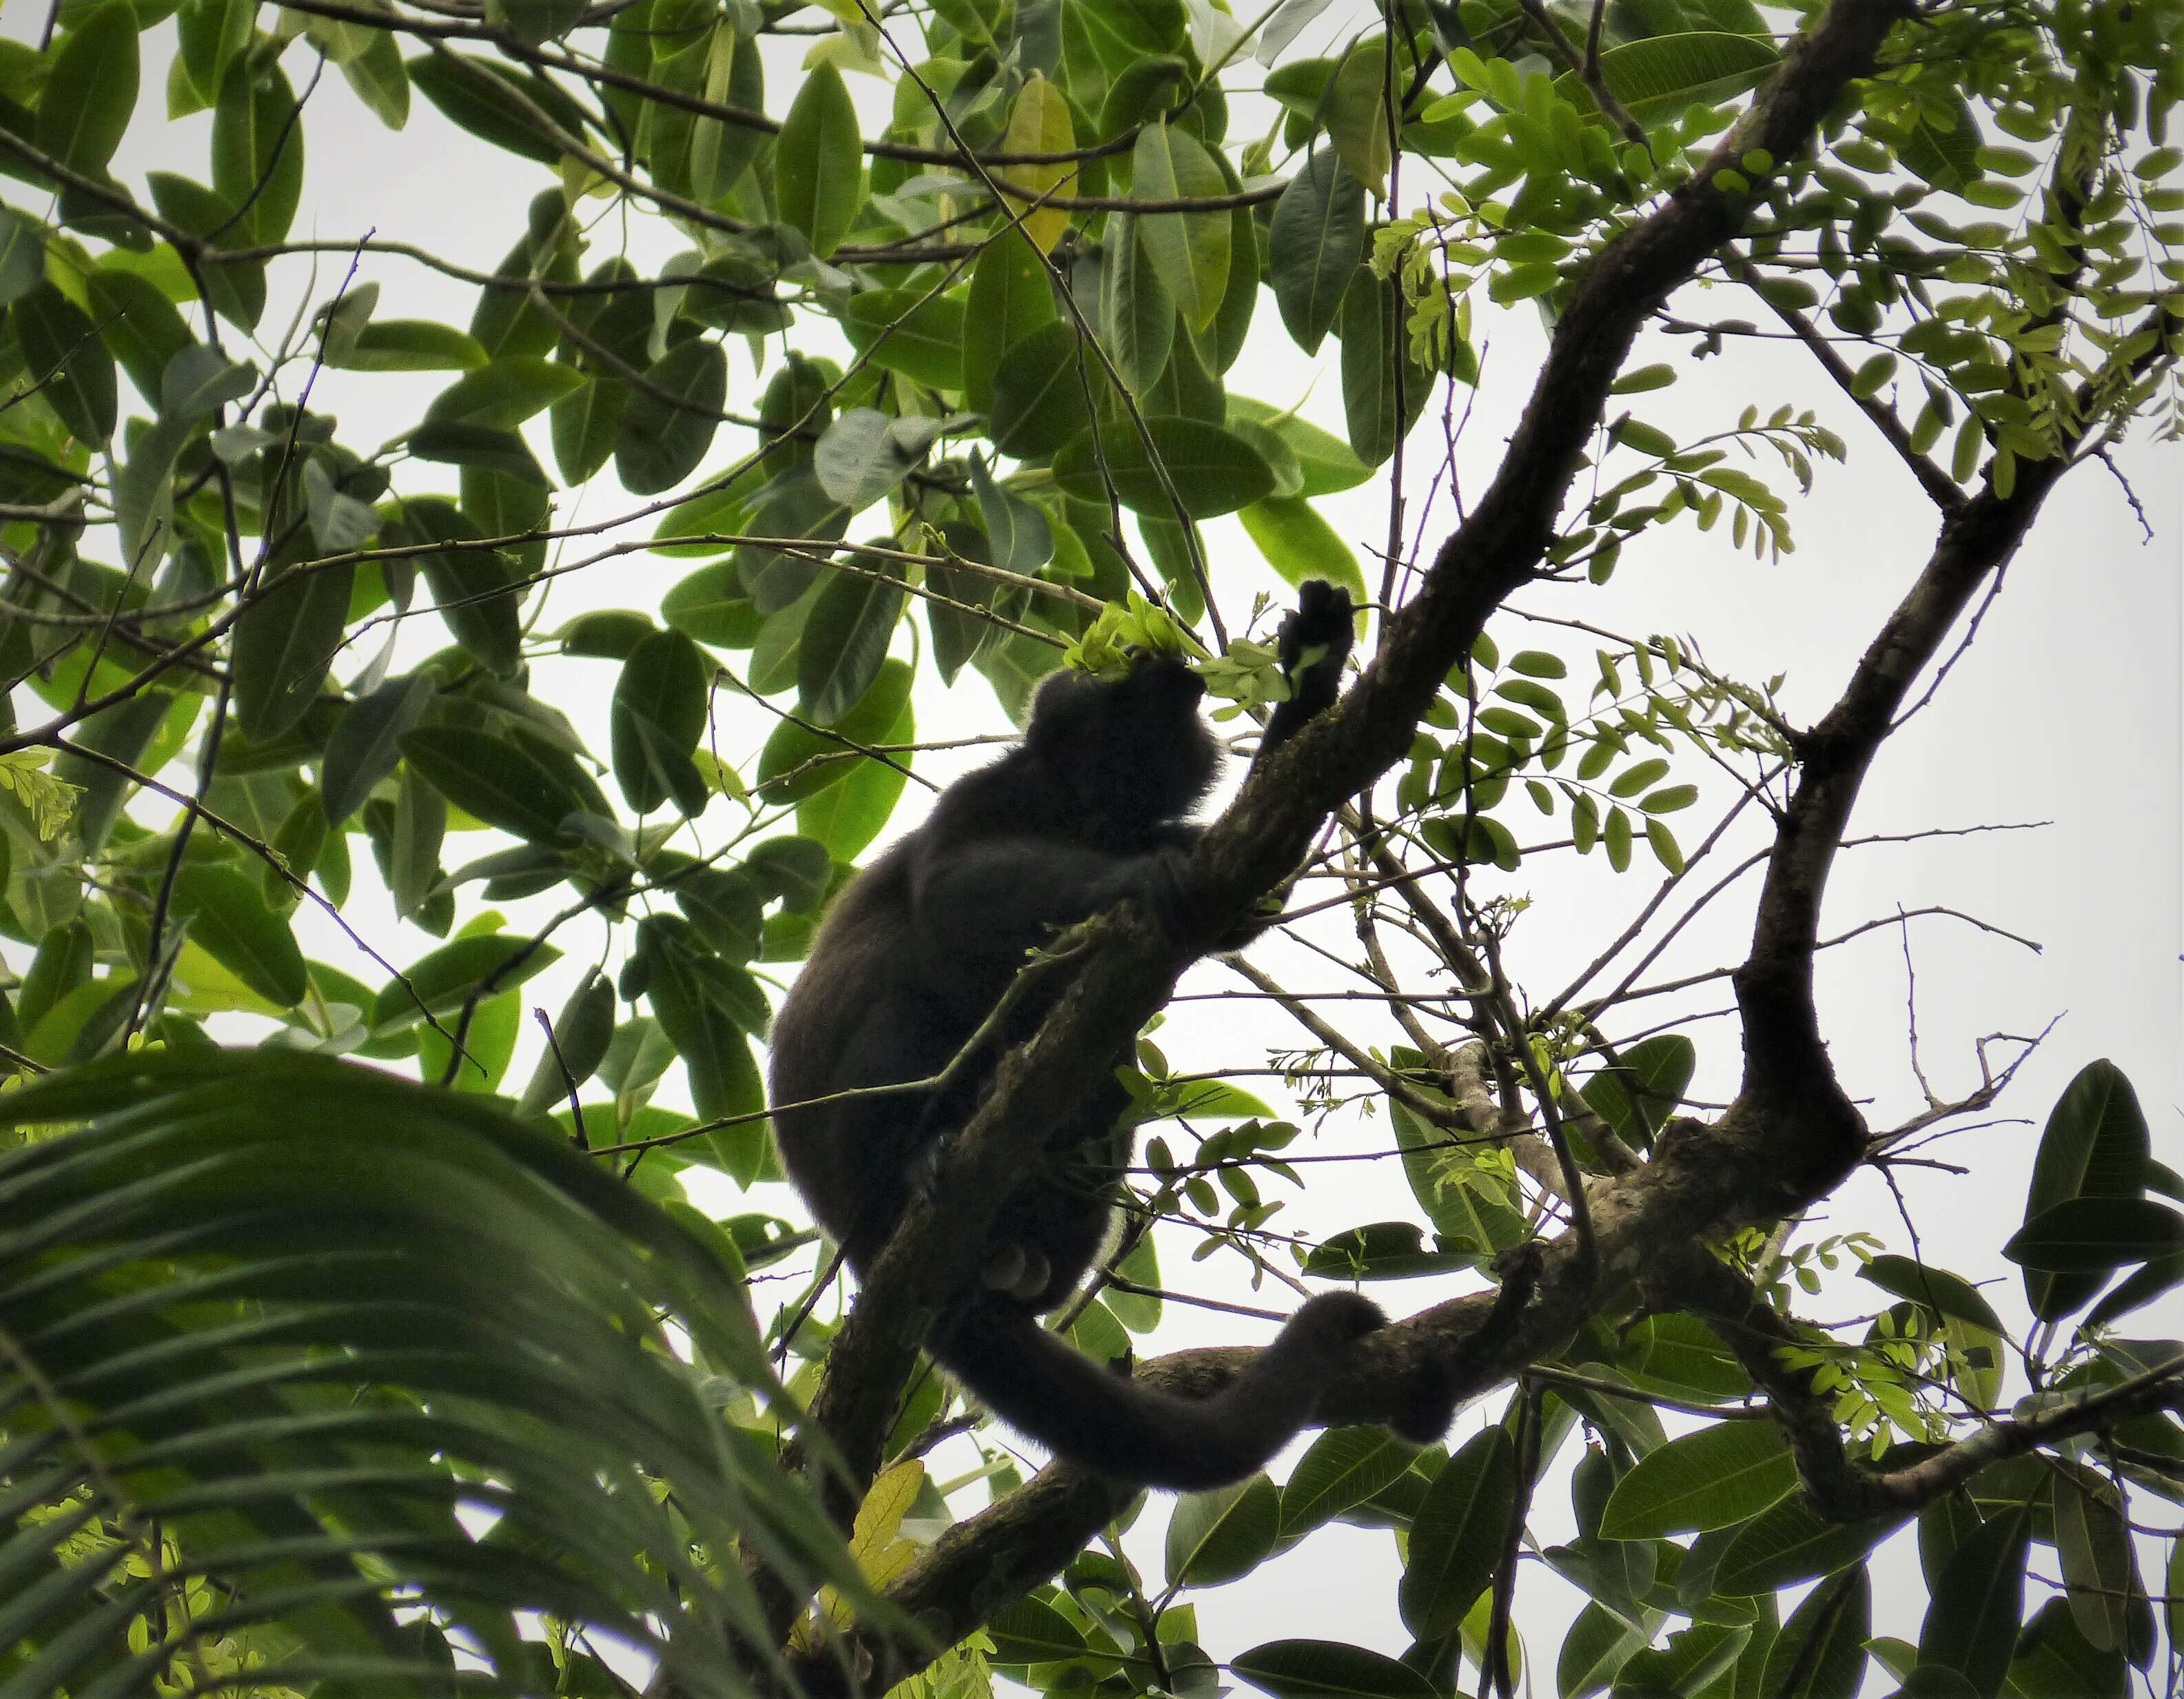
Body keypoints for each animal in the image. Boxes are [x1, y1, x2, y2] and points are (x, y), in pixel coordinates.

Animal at [768, 580, 1467, 1485]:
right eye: (1116, 659)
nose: (1158, 654)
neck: (1095, 809)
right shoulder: (988, 790)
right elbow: (952, 891)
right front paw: (1134, 881)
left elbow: (1247, 900)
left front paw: (1313, 666)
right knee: (906, 988)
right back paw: (914, 1160)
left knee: (1107, 1069)